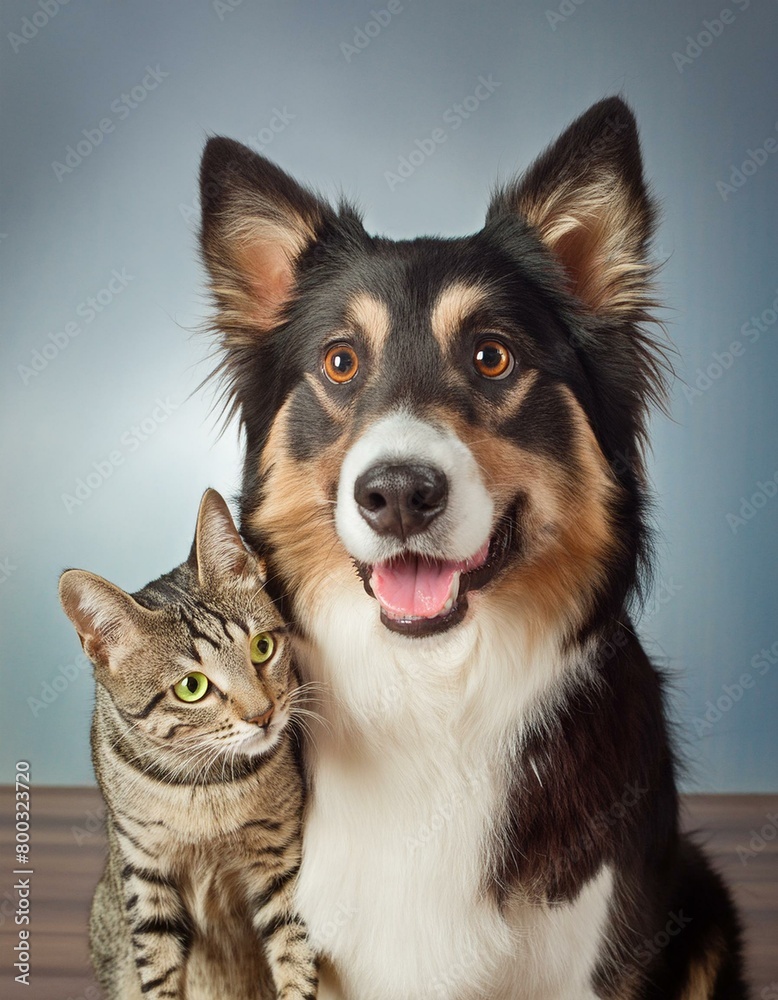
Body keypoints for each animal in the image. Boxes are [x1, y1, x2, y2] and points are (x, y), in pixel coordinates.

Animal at [56, 488, 318, 996]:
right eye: (191, 687)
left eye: (262, 648)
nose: (263, 714)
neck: (205, 784)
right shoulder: (144, 872)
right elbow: (158, 972)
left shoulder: (281, 857)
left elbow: (295, 953)